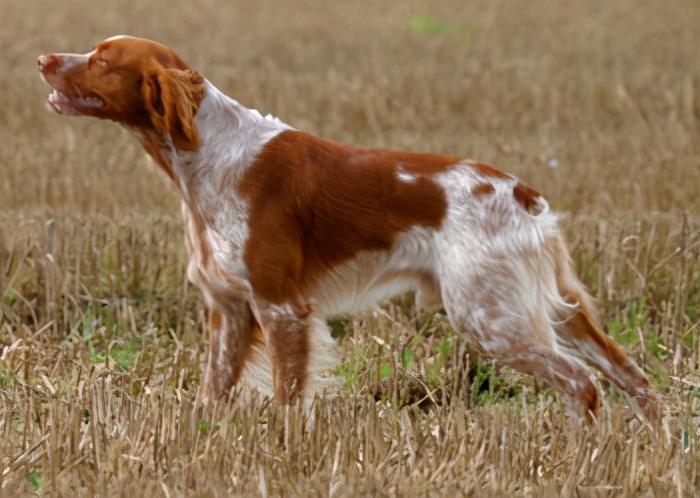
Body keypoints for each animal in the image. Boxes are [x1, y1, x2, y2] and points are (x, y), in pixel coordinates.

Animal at [38, 35, 660, 420]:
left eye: (102, 59)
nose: (43, 58)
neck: (208, 156)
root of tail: (522, 193)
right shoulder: (229, 310)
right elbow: (212, 394)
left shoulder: (281, 307)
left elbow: (288, 397)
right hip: (554, 311)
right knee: (634, 377)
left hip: (490, 317)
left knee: (583, 383)